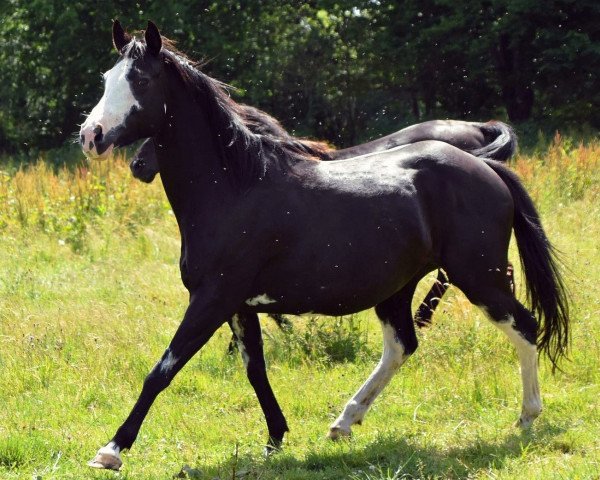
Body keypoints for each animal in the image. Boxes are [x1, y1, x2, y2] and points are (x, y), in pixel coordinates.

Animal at [78, 20, 568, 470]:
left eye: (141, 80)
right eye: (106, 77)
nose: (91, 136)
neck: (235, 187)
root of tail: (484, 167)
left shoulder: (213, 299)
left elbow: (162, 370)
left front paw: (112, 449)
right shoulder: (238, 305)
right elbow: (255, 371)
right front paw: (275, 438)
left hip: (480, 276)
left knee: (524, 326)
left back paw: (527, 417)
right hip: (400, 287)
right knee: (402, 345)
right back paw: (344, 422)